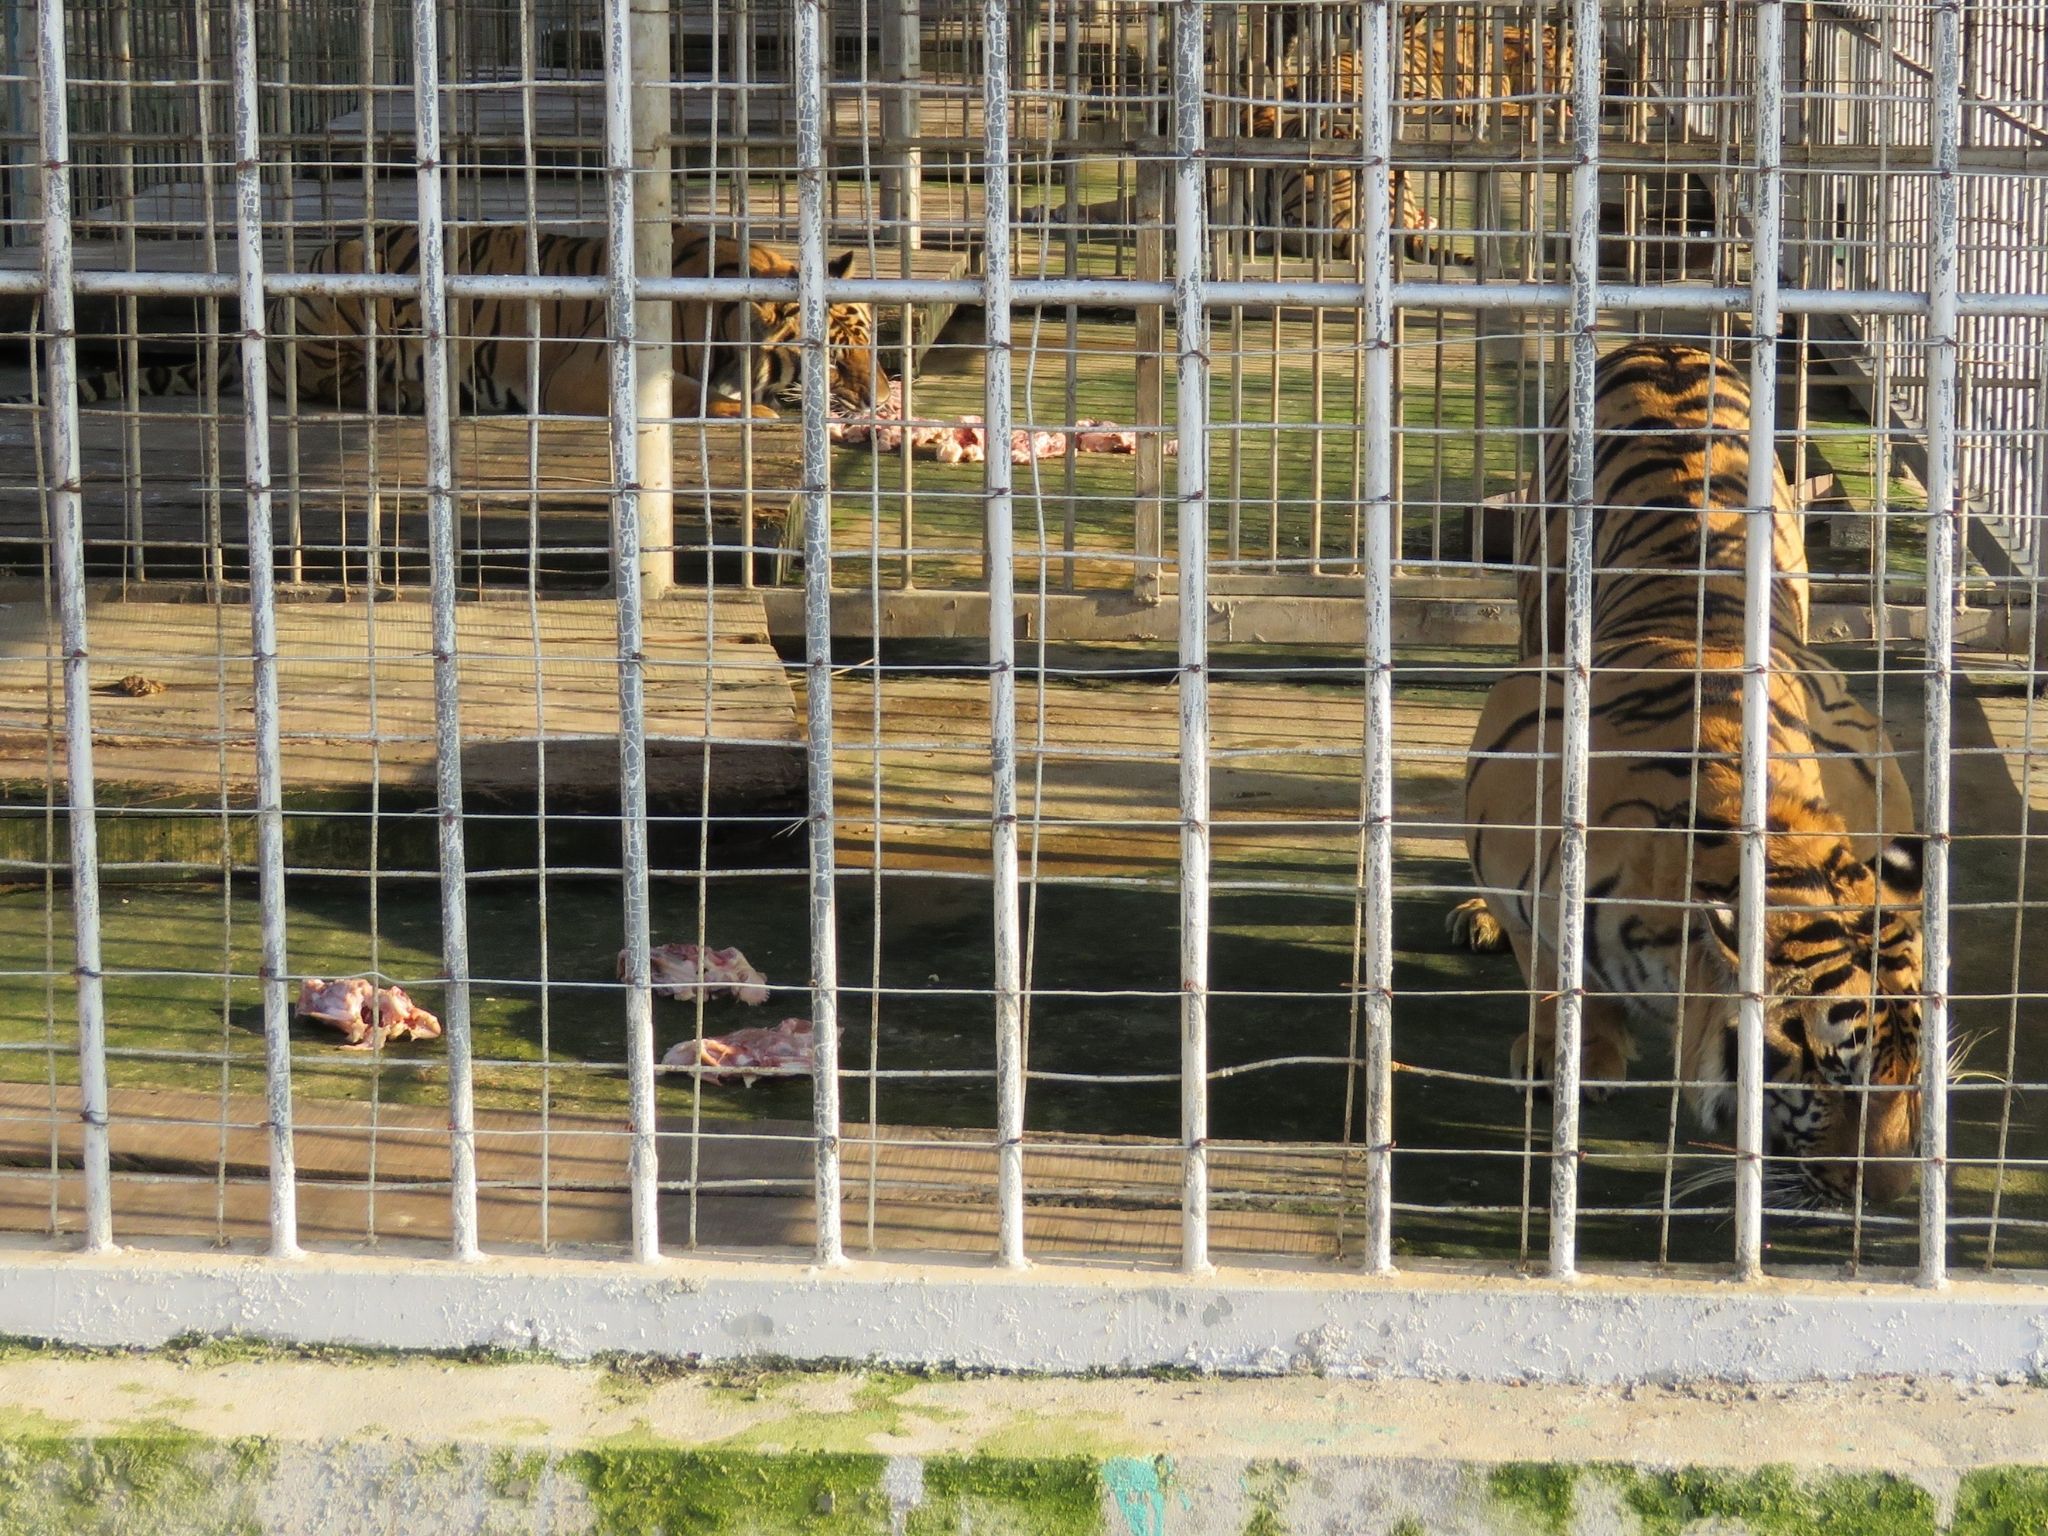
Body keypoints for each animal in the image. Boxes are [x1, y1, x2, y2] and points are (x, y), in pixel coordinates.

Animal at [1449, 342, 1925, 1212]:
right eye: (1839, 1079)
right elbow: (1550, 963)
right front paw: (1571, 1056)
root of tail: (1666, 344)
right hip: (1540, 599)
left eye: (1912, 1068)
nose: (1892, 1194)